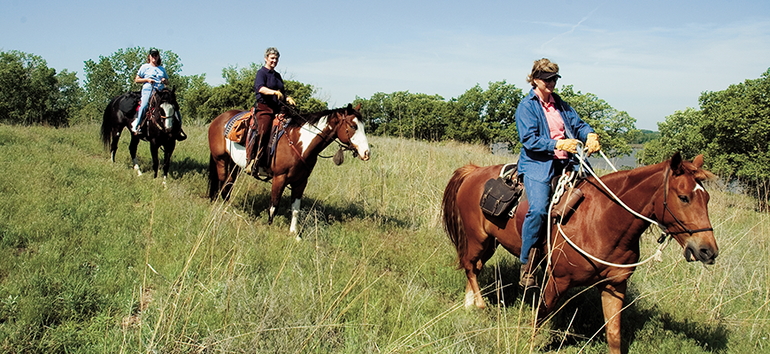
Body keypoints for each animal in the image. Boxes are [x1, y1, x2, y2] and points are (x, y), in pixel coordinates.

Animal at [207, 103, 368, 234]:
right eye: (353, 126)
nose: (367, 153)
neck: (298, 143)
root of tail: (218, 119)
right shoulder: (279, 178)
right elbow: (274, 205)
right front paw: (270, 227)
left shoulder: (301, 181)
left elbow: (296, 208)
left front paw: (294, 233)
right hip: (220, 159)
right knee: (223, 182)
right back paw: (223, 208)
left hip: (234, 163)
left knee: (229, 182)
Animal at [440, 153, 716, 354]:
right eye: (683, 197)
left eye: (707, 199)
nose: (707, 250)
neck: (603, 220)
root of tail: (474, 171)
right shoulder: (556, 281)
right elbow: (540, 318)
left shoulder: (615, 285)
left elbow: (613, 334)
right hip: (477, 238)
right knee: (470, 266)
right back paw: (479, 305)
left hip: (490, 243)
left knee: (474, 267)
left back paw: (469, 304)